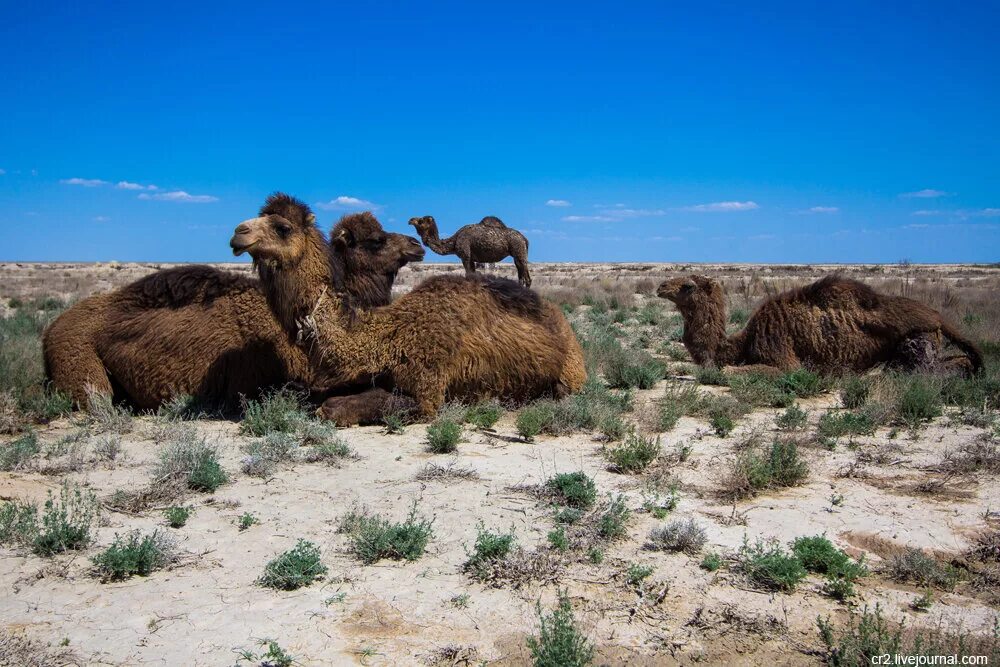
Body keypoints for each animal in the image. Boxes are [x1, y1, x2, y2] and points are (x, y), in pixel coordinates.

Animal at [408, 214, 536, 288]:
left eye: (421, 221)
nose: (410, 220)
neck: (454, 241)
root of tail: (525, 239)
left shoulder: (465, 256)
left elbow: (468, 275)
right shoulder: (472, 259)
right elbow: (473, 275)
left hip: (519, 250)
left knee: (527, 278)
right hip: (517, 255)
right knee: (521, 276)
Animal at [656, 272, 984, 376]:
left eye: (688, 286)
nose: (660, 287)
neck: (740, 342)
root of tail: (938, 316)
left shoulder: (784, 359)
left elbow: (730, 372)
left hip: (918, 343)